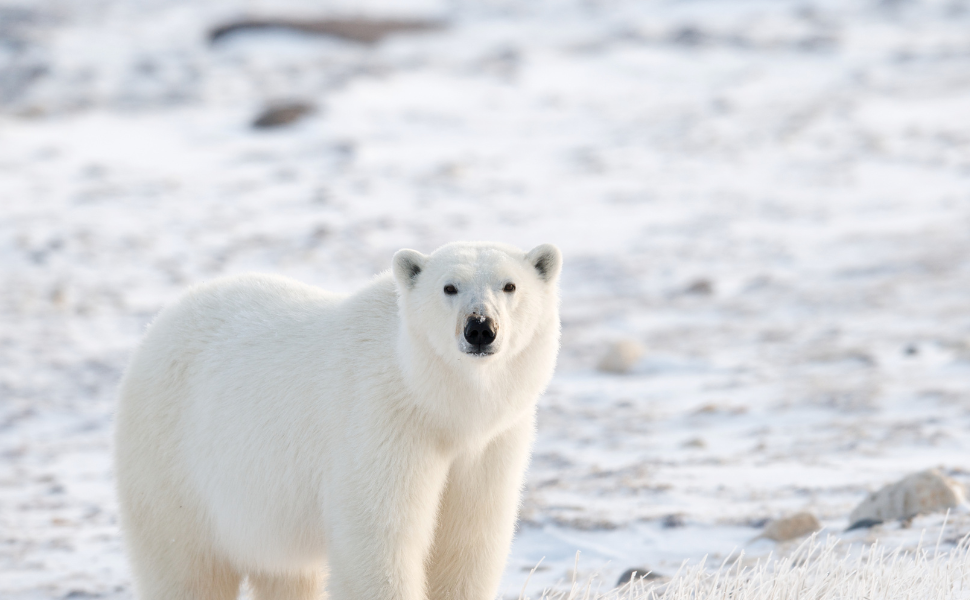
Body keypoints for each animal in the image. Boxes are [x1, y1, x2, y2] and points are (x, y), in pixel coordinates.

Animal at [112, 243, 560, 600]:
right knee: (185, 569)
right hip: (175, 470)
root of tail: (159, 324)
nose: (480, 327)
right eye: (449, 287)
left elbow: (467, 543)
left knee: (287, 576)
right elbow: (379, 540)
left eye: (509, 286)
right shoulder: (381, 423)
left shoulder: (490, 445)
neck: (439, 405)